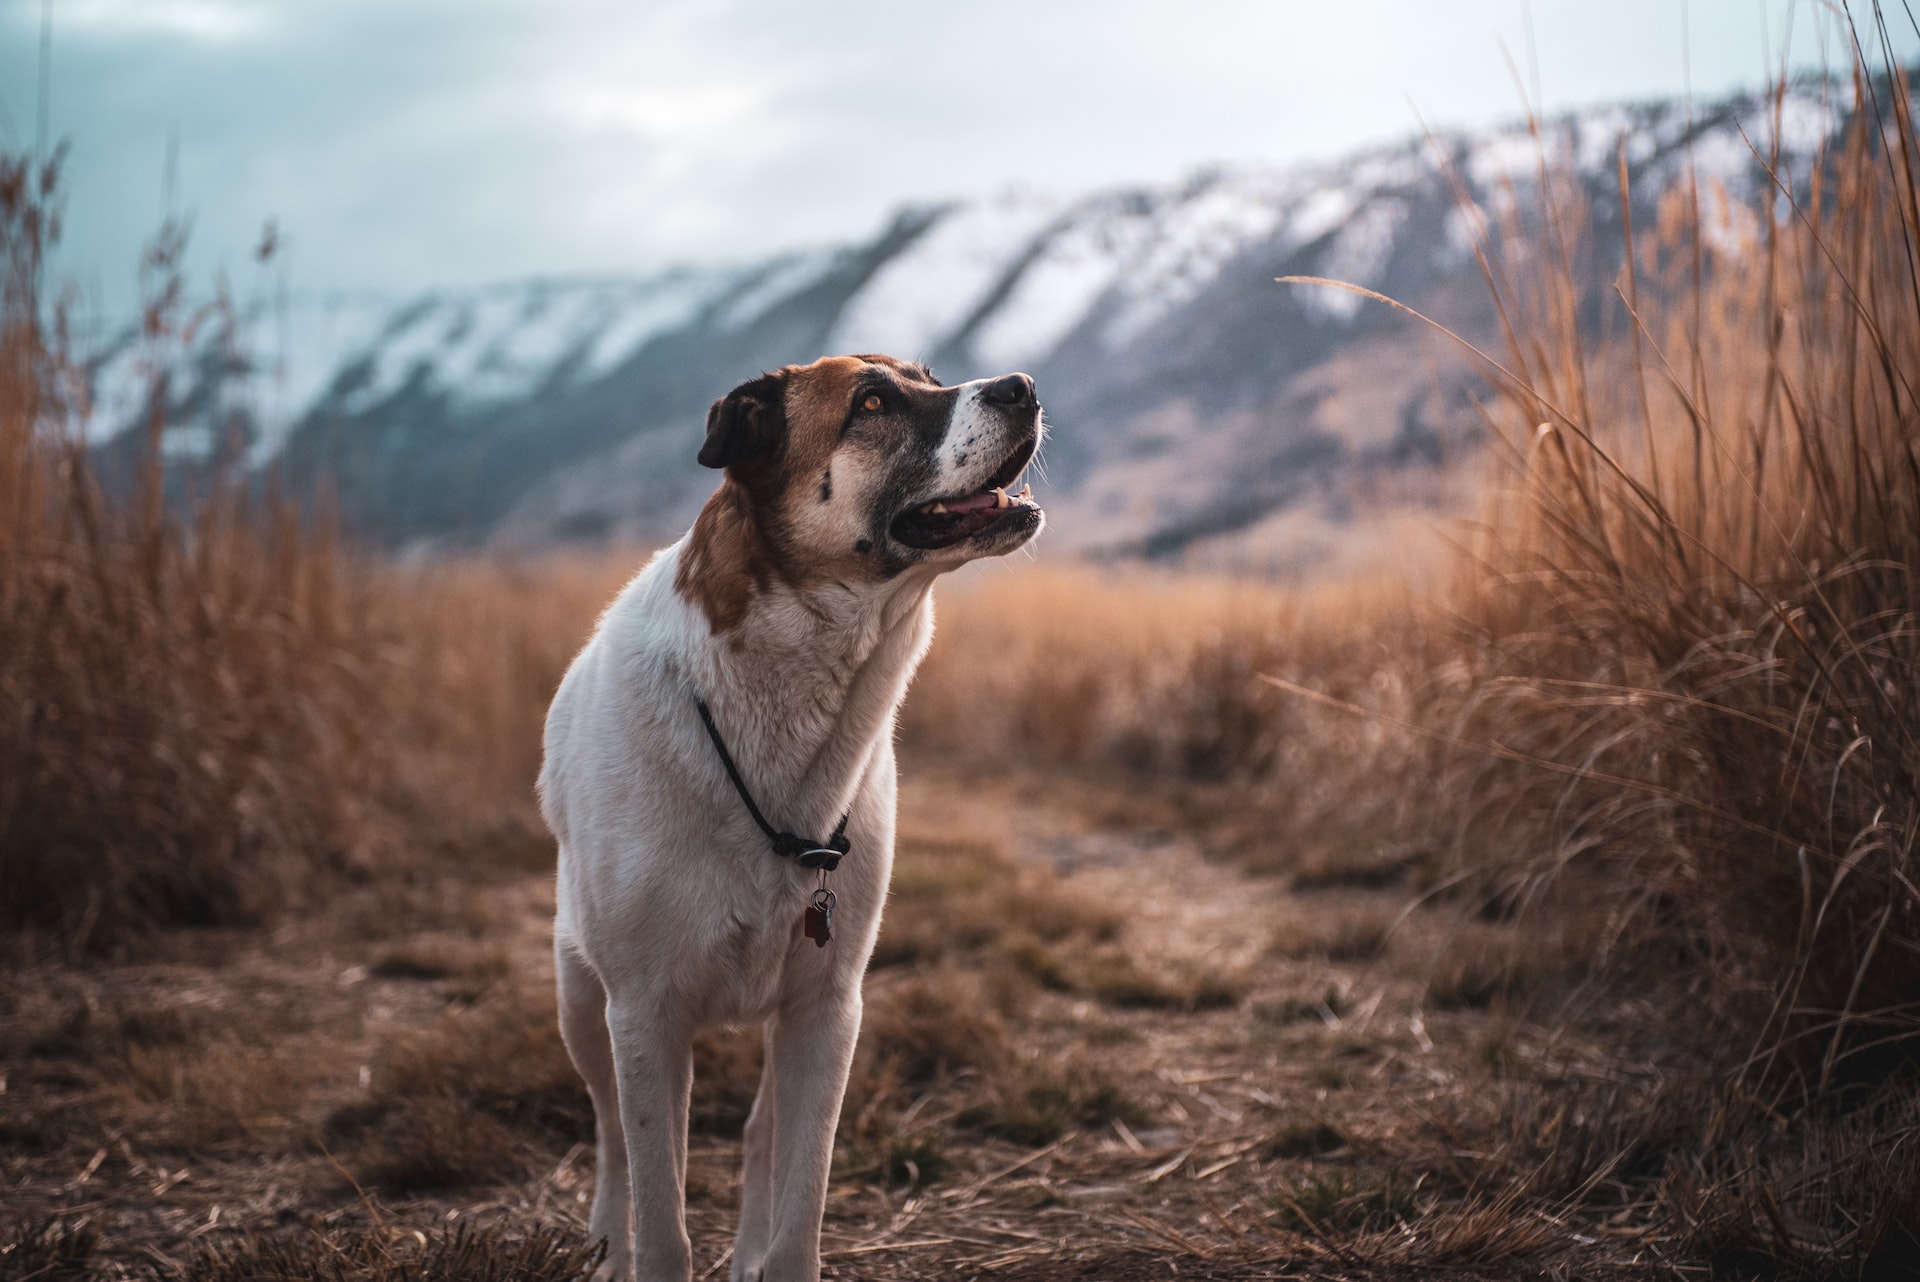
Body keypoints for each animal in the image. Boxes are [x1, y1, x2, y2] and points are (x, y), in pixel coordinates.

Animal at [541, 353, 1044, 1282]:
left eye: (930, 375)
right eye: (872, 402)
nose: (1022, 385)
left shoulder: (827, 1009)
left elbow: (797, 1202)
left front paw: (770, 1250)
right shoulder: (643, 1013)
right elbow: (659, 1212)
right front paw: (639, 1245)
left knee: (758, 1135)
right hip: (578, 996)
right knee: (613, 1136)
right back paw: (603, 1242)